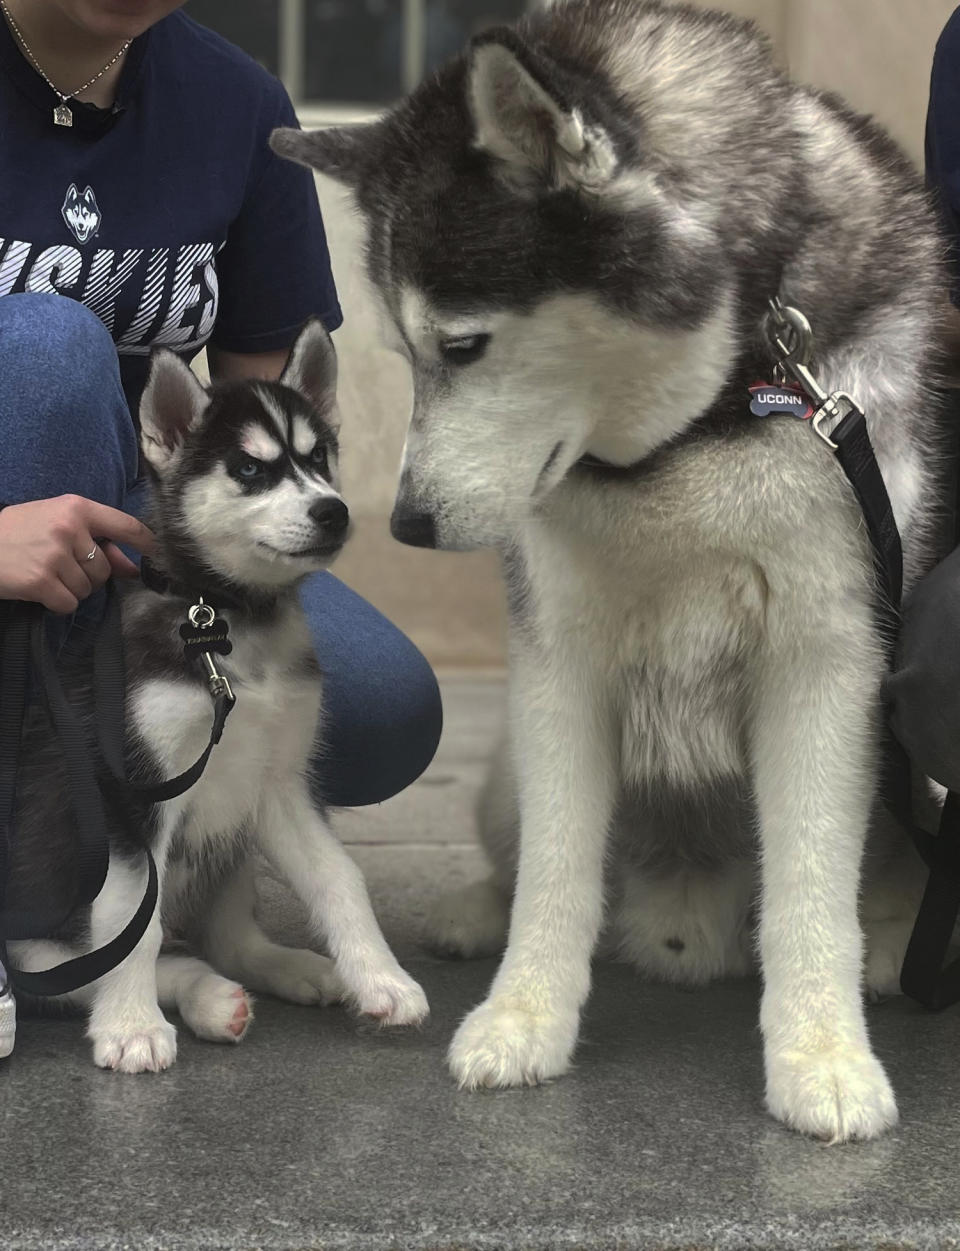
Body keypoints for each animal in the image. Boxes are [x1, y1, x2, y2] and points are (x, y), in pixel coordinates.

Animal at [6, 320, 428, 1065]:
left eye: (320, 459)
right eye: (251, 470)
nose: (334, 511)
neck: (227, 622)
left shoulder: (280, 781)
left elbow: (340, 877)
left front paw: (382, 978)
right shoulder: (131, 795)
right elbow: (133, 926)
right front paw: (131, 1027)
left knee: (225, 941)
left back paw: (283, 971)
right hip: (33, 937)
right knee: (93, 968)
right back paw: (201, 997)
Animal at [274, 0, 951, 1140]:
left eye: (463, 345)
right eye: (404, 356)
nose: (405, 523)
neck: (698, 430)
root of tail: (685, 918)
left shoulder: (830, 656)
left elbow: (813, 884)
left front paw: (822, 1053)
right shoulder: (559, 656)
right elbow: (557, 866)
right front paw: (523, 1017)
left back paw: (901, 938)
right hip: (501, 769)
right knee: (526, 851)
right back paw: (476, 911)